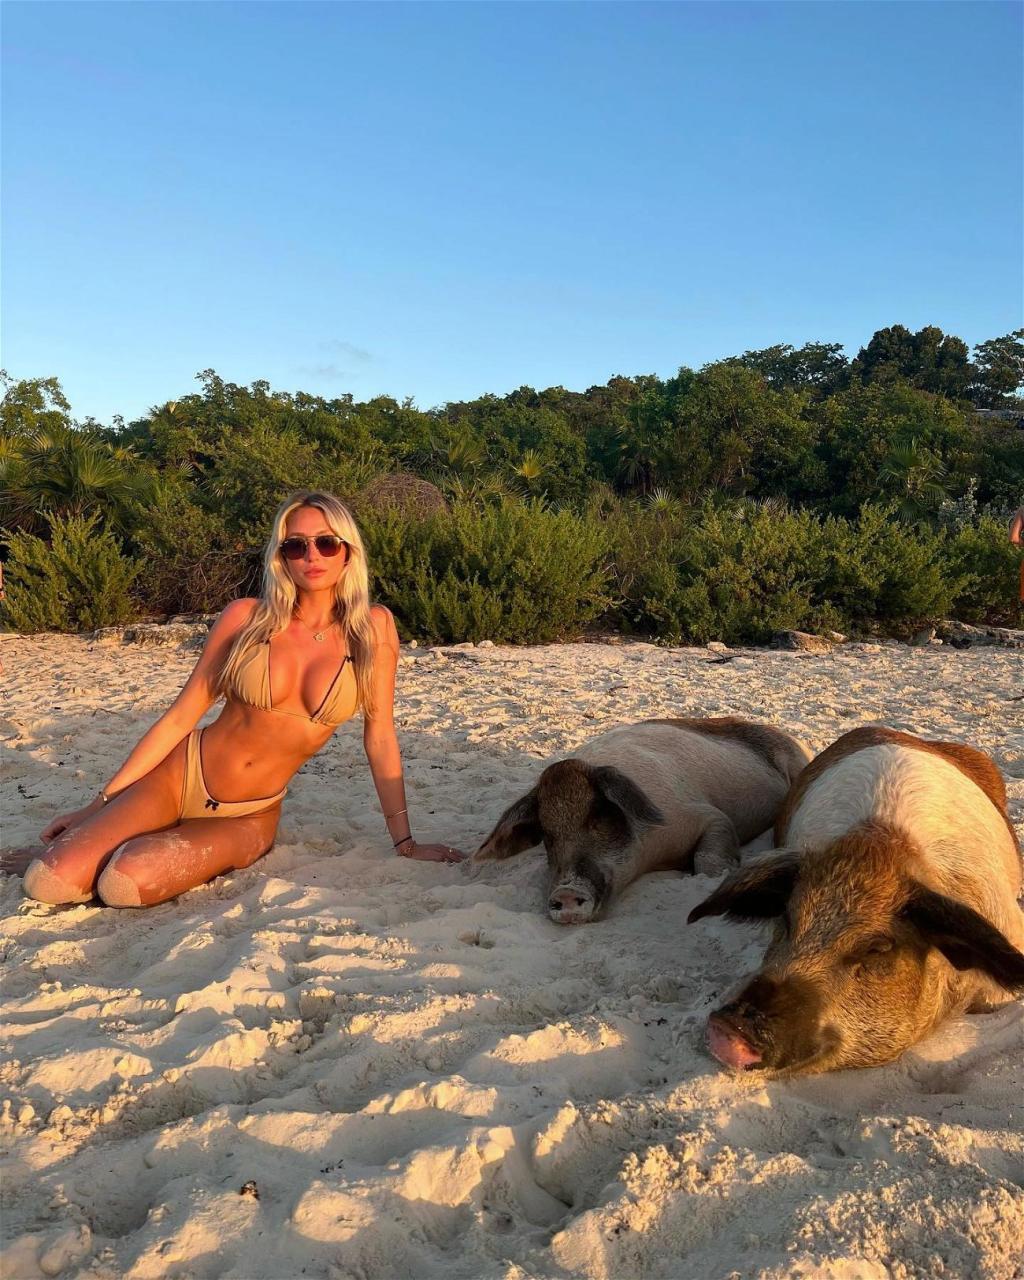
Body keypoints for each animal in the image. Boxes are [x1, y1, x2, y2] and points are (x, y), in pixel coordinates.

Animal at [476, 721, 814, 921]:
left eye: (600, 814)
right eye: (547, 833)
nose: (565, 892)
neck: (654, 857)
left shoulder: (711, 816)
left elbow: (706, 858)